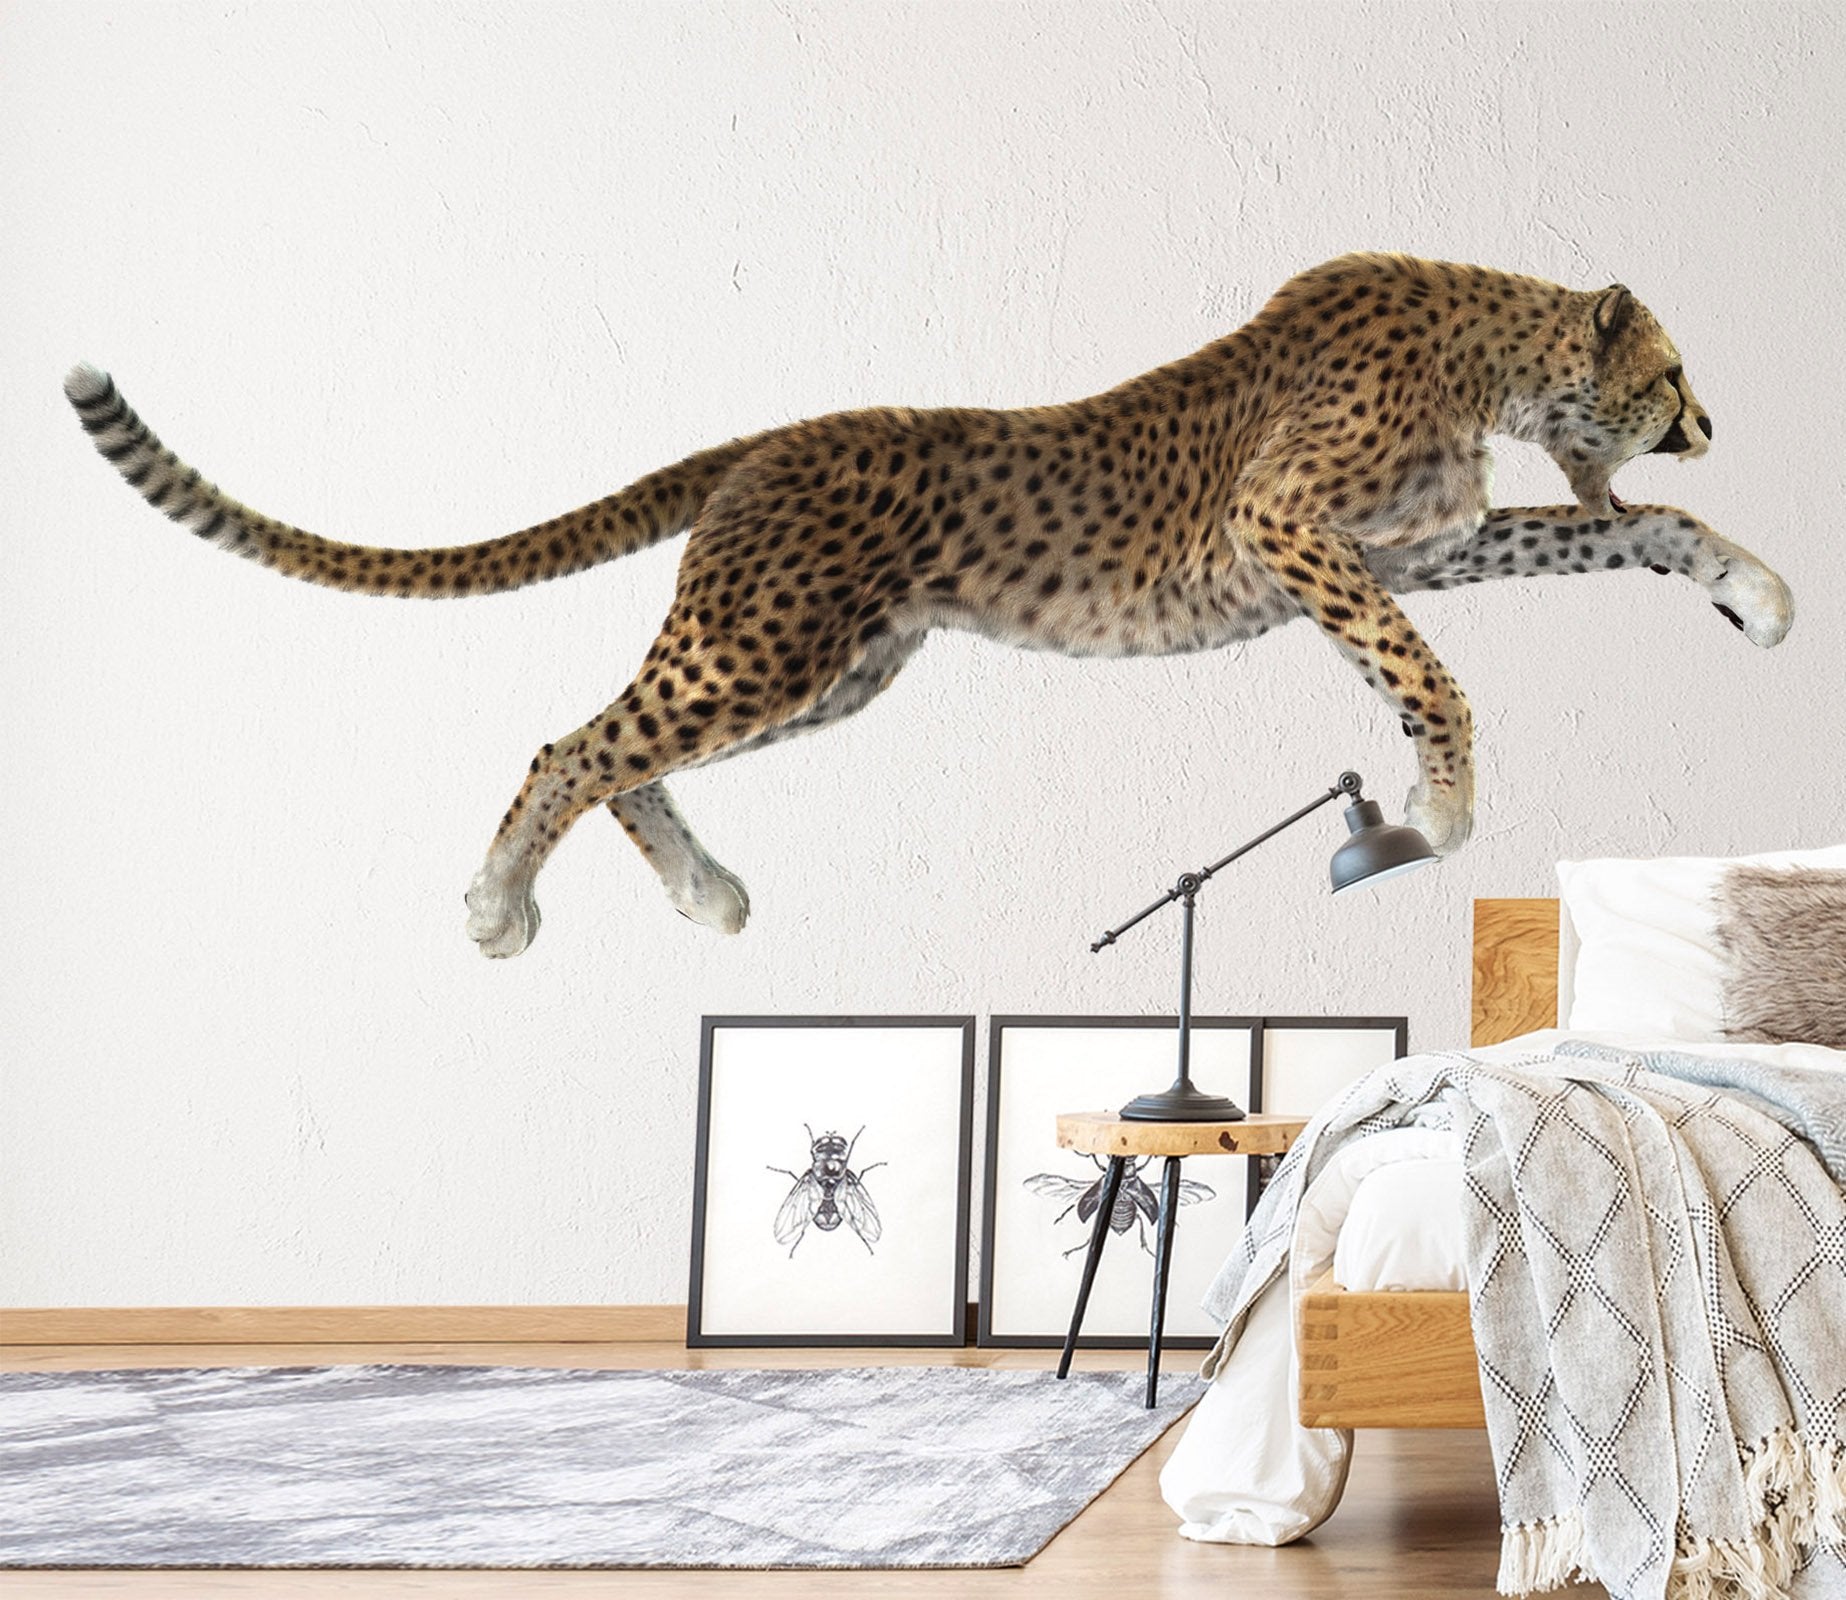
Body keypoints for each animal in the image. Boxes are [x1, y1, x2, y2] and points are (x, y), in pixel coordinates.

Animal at [64, 252, 1794, 959]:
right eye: (1674, 376)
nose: (1712, 419)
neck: (1493, 353)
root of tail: (771, 436)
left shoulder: (1410, 546)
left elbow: (1622, 537)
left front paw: (1753, 590)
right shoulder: (1294, 530)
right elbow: (1427, 673)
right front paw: (1436, 810)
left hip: (834, 672)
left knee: (621, 755)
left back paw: (701, 893)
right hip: (766, 650)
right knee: (574, 743)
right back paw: (497, 906)